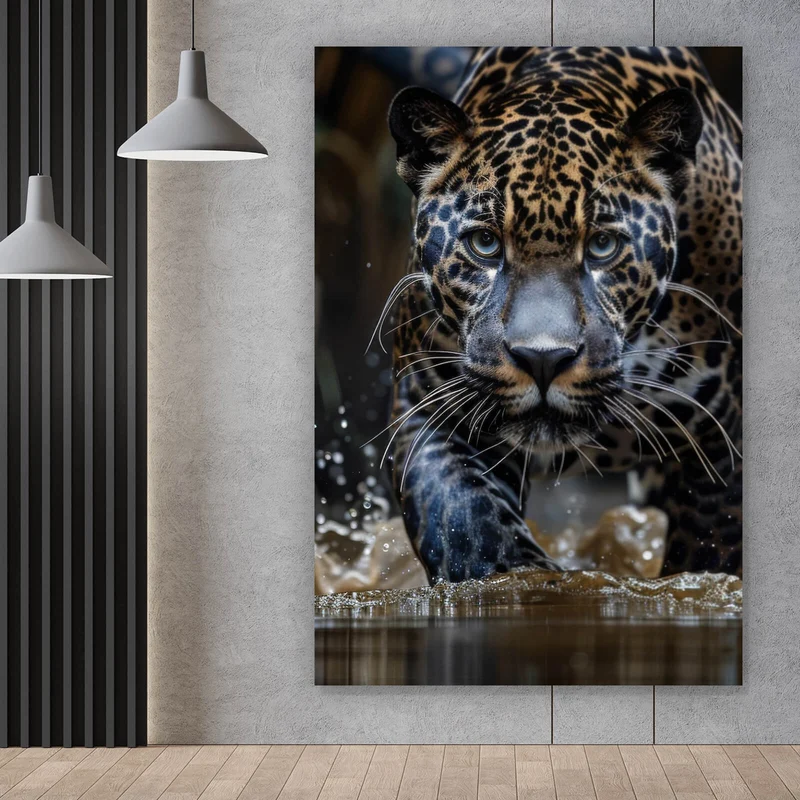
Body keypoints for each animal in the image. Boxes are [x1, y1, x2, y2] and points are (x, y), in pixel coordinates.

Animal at [376, 47, 742, 583]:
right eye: (484, 243)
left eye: (603, 245)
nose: (543, 359)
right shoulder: (430, 407)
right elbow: (466, 523)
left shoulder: (721, 448)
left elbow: (712, 558)